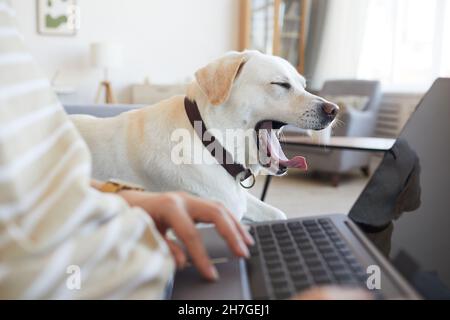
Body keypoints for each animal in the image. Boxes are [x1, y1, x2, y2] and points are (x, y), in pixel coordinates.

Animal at [71, 51, 338, 222]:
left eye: (303, 86)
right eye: (281, 84)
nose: (334, 110)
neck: (210, 142)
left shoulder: (239, 200)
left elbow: (278, 214)